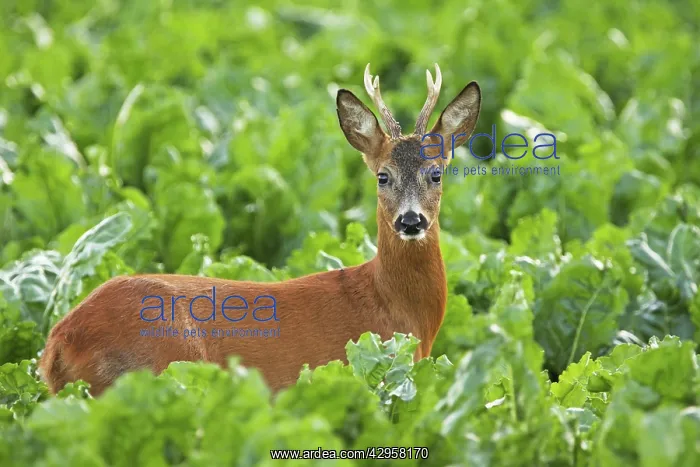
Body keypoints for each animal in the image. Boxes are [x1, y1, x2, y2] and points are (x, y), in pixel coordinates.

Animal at [39, 63, 482, 396]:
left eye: (436, 173)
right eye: (382, 176)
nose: (411, 221)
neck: (393, 306)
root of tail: (57, 343)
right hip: (153, 365)